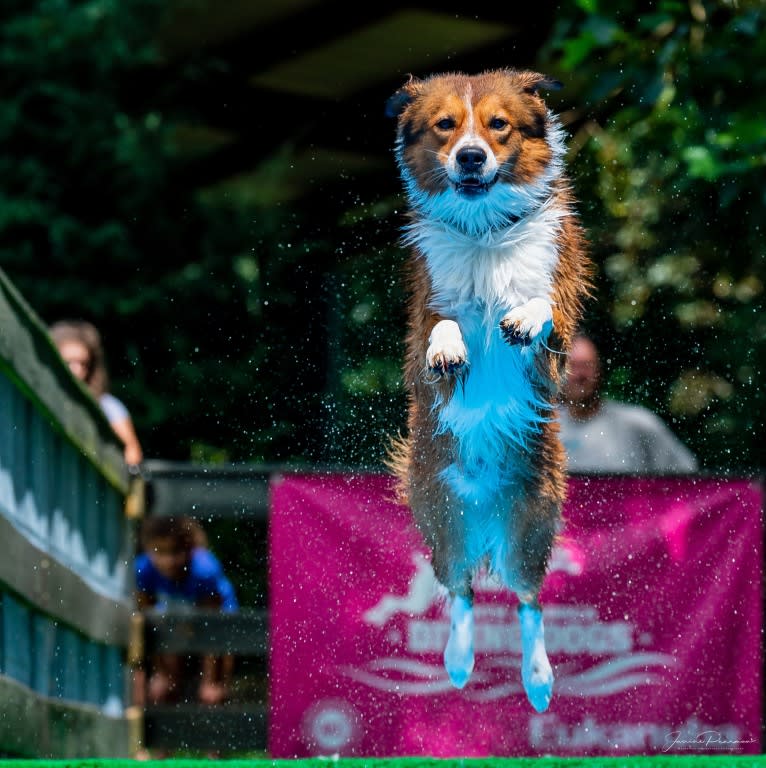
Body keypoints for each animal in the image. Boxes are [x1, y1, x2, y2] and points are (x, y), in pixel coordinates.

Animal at [388, 69, 592, 712]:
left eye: (498, 125)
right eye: (445, 126)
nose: (471, 156)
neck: (483, 234)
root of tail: (486, 514)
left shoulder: (558, 327)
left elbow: (542, 309)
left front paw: (521, 317)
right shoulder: (425, 312)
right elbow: (439, 332)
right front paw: (450, 347)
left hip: (533, 523)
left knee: (529, 601)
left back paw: (539, 679)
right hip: (440, 516)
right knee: (461, 593)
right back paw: (457, 663)